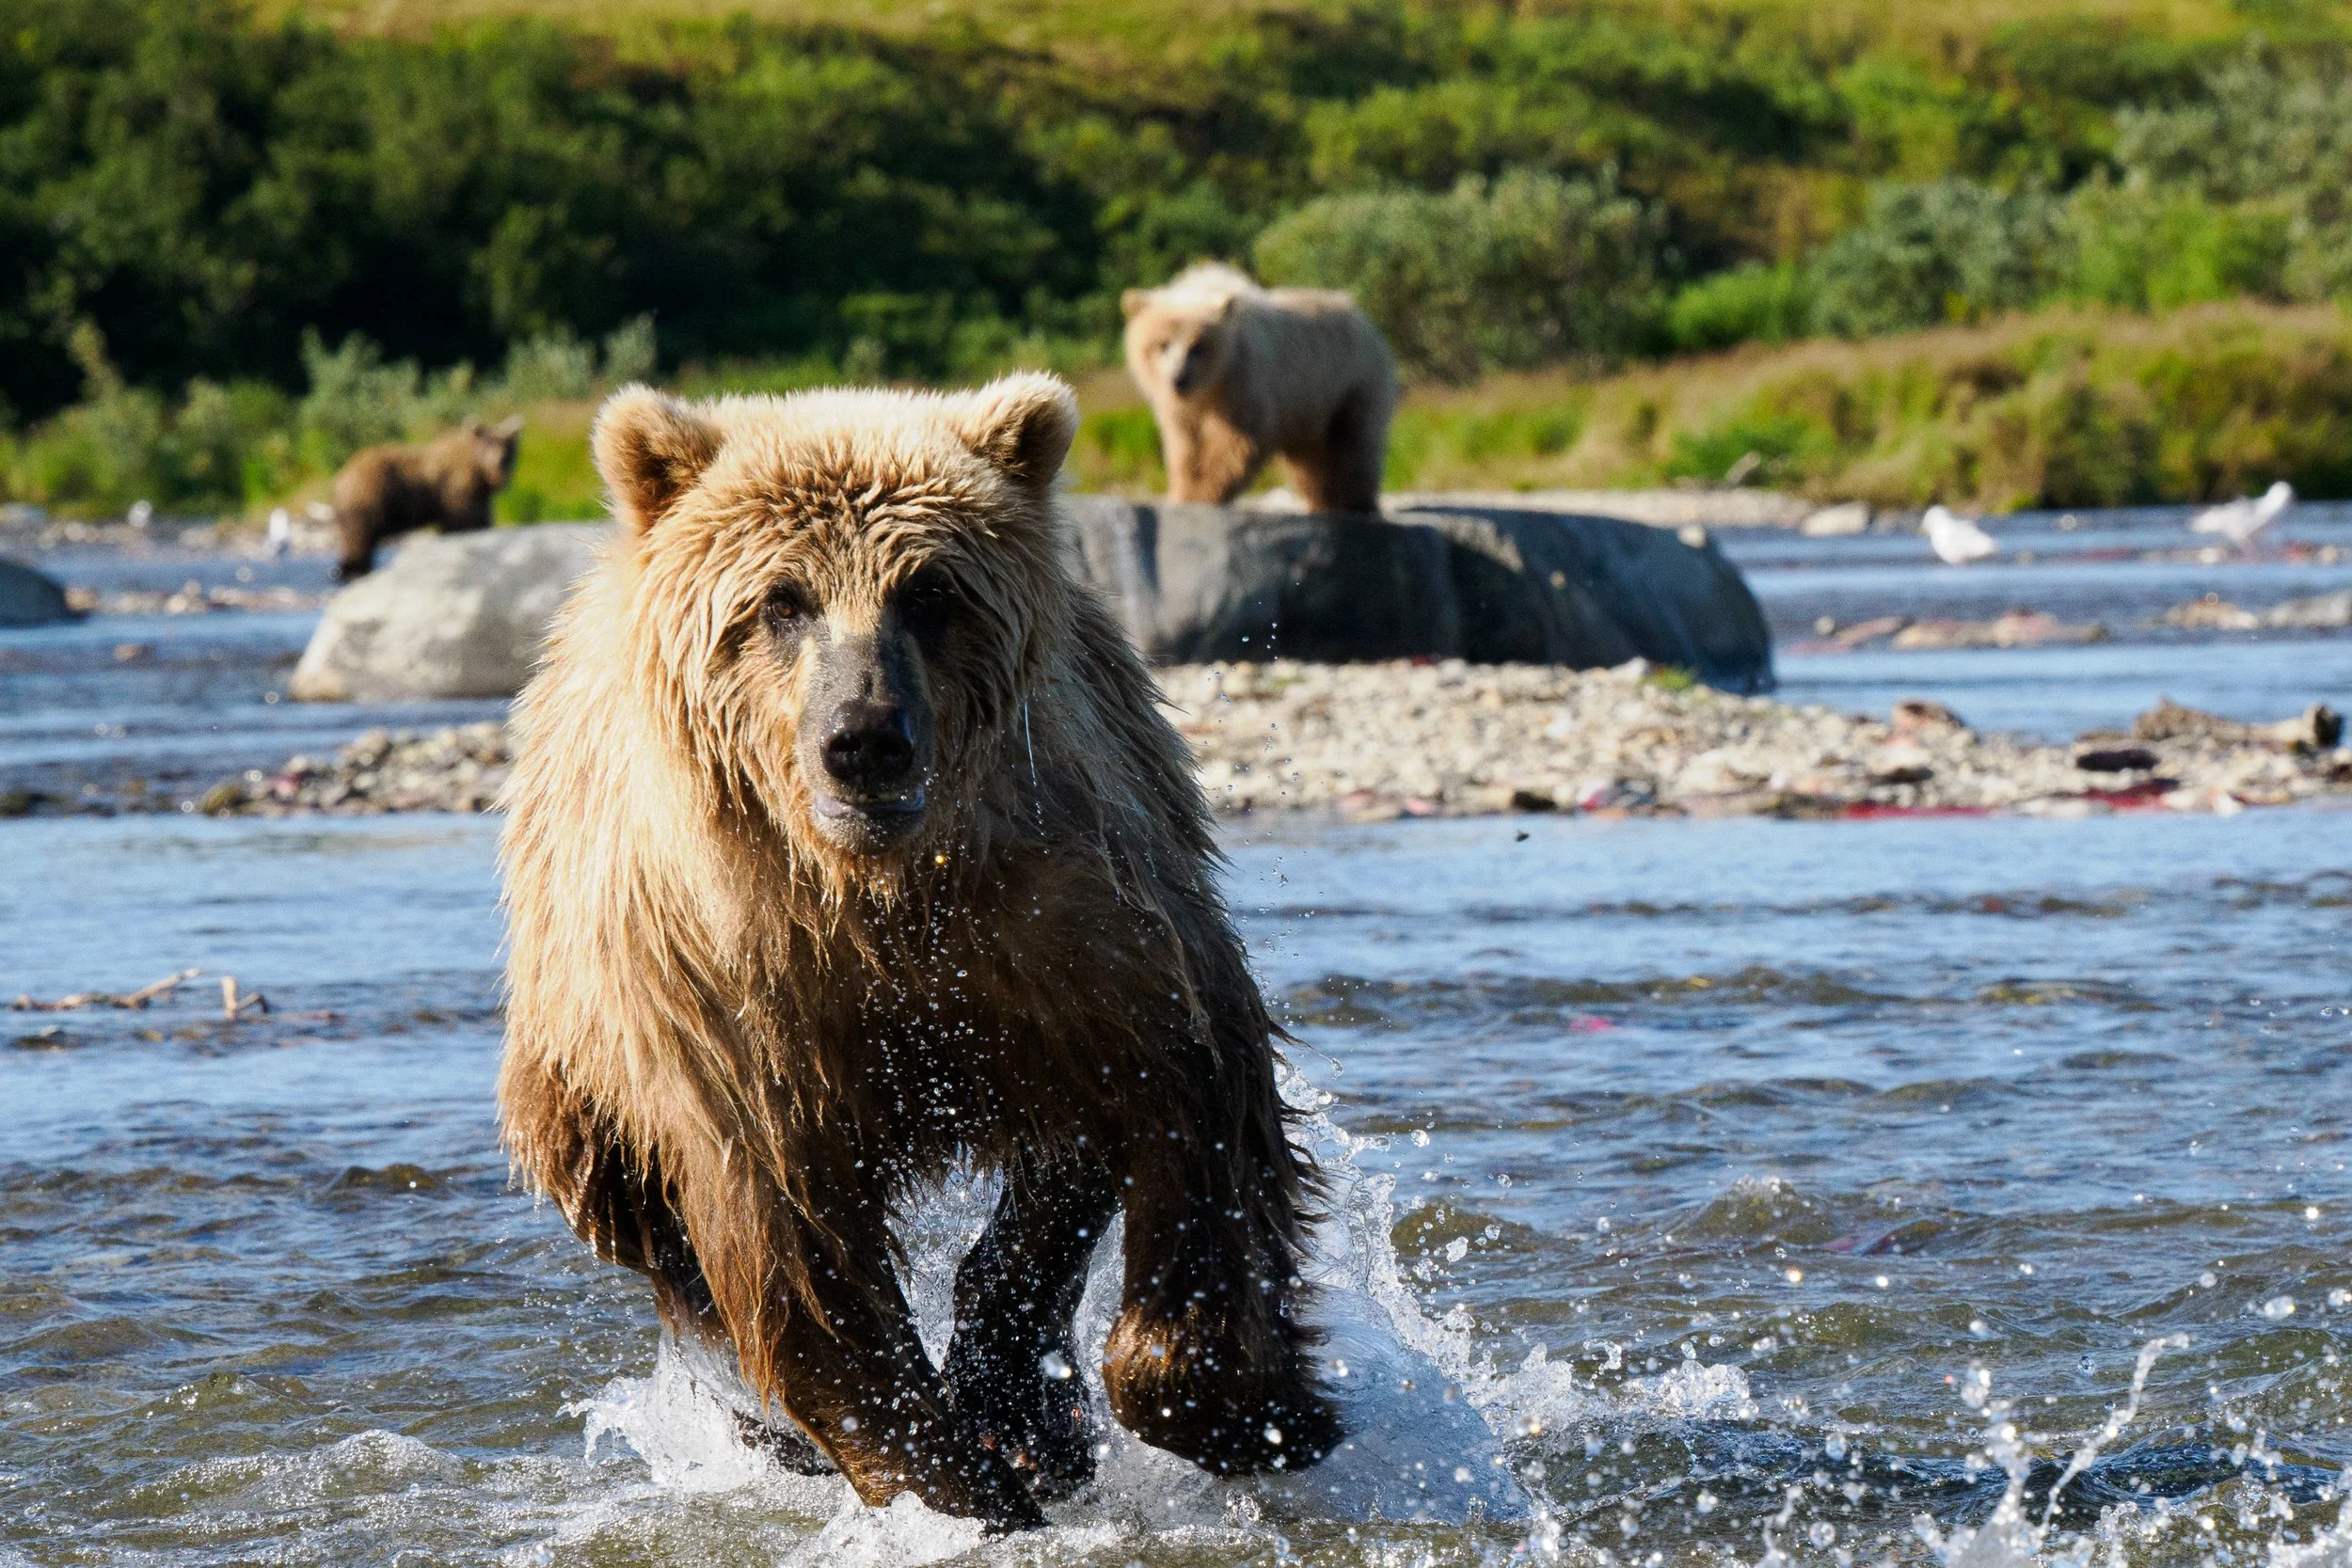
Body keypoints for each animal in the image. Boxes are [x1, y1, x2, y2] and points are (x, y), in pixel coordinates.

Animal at [327, 415, 523, 581]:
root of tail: (342, 475)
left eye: (509, 448)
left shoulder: (479, 498)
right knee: (358, 541)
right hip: (367, 499)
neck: (479, 476)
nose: (500, 462)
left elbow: (481, 521)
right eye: (488, 444)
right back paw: (352, 570)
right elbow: (459, 523)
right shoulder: (456, 490)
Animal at [496, 373, 1339, 1530]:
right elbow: (799, 1260)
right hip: (579, 1060)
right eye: (782, 599)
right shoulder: (736, 997)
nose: (864, 739)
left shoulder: (1066, 918)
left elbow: (1186, 1093)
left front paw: (1251, 1408)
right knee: (655, 1233)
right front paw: (956, 1484)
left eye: (930, 591)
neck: (876, 891)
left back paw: (1026, 1405)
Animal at [1121, 262, 1397, 514]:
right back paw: (1324, 502)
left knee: (1354, 447)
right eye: (1162, 344)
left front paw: (1203, 495)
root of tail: (1366, 321)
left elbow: (1239, 440)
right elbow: (1184, 447)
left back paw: (1356, 503)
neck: (1210, 385)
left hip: (1350, 384)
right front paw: (1182, 492)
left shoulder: (1243, 382)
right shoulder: (1178, 408)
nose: (1178, 378)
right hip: (1309, 411)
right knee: (1312, 462)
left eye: (1197, 347)